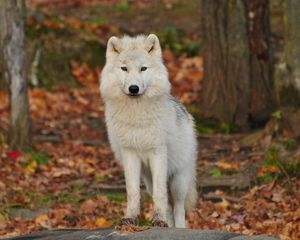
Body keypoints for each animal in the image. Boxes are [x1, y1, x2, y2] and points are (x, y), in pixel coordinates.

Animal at [99, 33, 198, 227]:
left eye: (143, 68)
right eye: (124, 68)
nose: (134, 88)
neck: (136, 115)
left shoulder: (157, 152)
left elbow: (160, 195)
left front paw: (158, 220)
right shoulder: (130, 153)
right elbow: (132, 191)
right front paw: (130, 218)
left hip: (178, 180)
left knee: (178, 208)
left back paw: (178, 227)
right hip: (148, 179)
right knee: (168, 206)